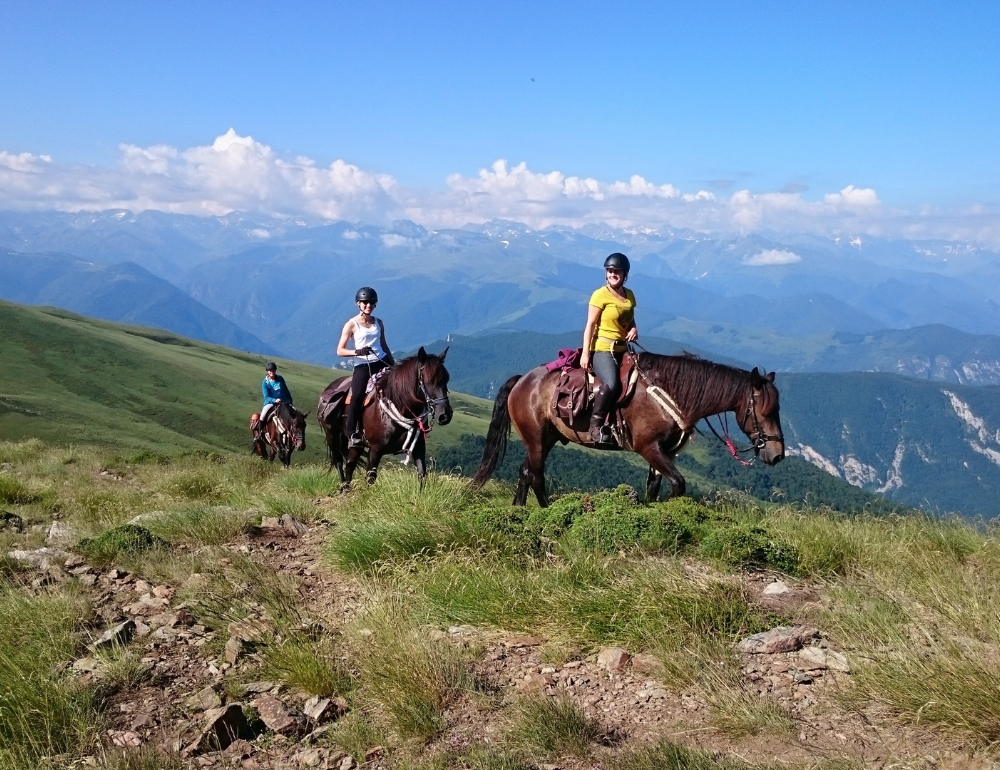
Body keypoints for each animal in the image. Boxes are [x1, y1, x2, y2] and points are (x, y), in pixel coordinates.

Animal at [316, 346, 454, 486]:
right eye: (428, 381)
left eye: (446, 379)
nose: (444, 415)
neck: (401, 407)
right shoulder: (375, 450)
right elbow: (370, 478)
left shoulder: (418, 447)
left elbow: (421, 475)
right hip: (332, 435)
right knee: (339, 462)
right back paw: (343, 485)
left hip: (356, 443)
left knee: (350, 464)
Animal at [472, 352, 784, 508]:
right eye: (765, 411)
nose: (778, 455)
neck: (671, 394)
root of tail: (522, 379)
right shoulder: (648, 447)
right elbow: (678, 484)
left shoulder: (663, 451)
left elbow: (655, 487)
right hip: (536, 439)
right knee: (536, 476)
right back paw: (549, 512)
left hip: (546, 438)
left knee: (525, 471)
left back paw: (519, 510)